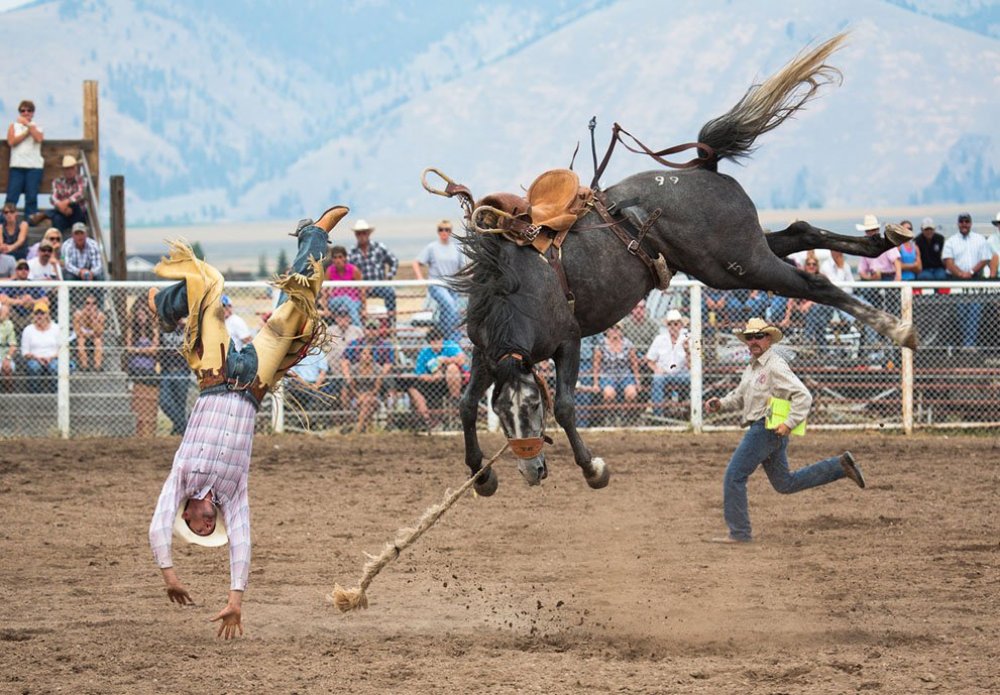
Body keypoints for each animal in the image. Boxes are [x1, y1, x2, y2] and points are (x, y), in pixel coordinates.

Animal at [446, 35, 916, 498]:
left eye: (530, 404)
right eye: (501, 408)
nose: (532, 471)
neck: (519, 289)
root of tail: (701, 166)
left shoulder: (569, 341)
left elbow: (563, 405)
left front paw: (593, 468)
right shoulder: (485, 352)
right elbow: (466, 405)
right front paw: (481, 475)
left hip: (737, 265)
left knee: (812, 281)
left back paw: (898, 328)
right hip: (736, 256)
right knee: (800, 232)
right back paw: (884, 239)